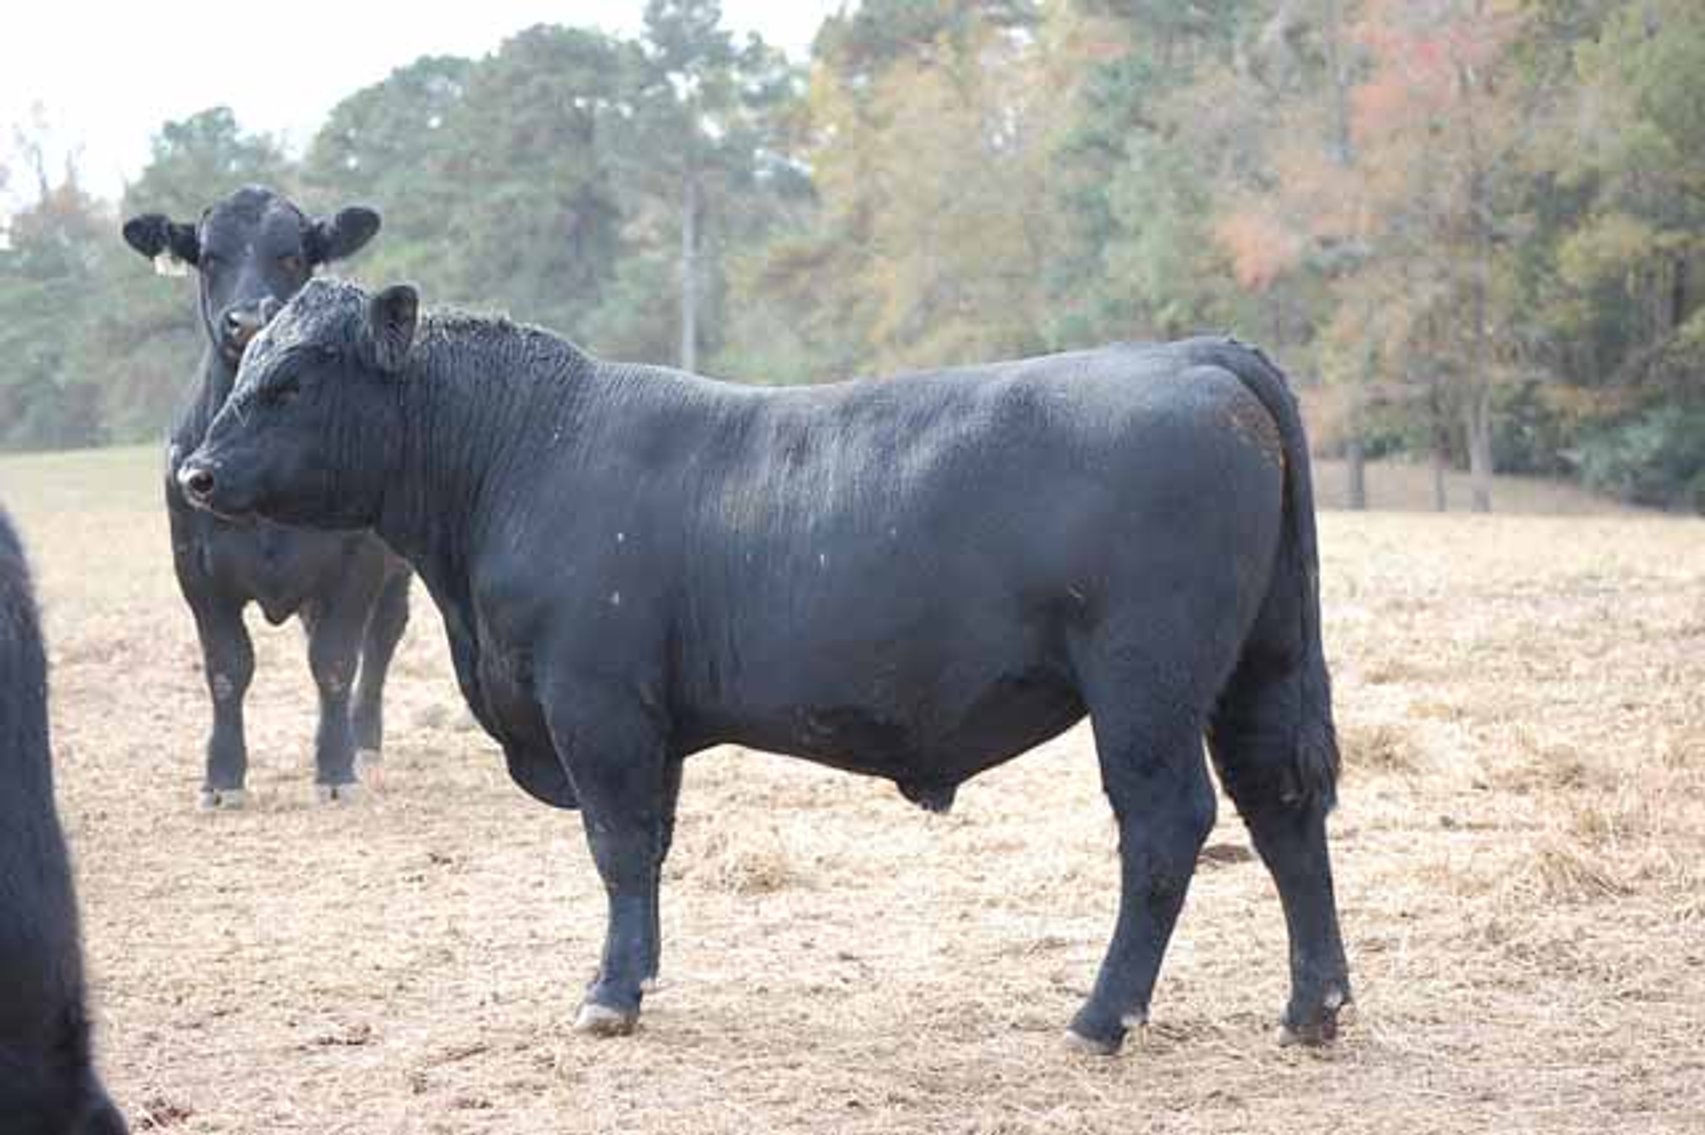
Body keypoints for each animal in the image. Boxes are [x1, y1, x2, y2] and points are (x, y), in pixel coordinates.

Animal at [121, 187, 411, 808]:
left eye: (293, 255)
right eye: (209, 258)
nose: (251, 319)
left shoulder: (355, 562)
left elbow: (335, 661)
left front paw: (335, 770)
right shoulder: (197, 569)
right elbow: (228, 668)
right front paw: (222, 778)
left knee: (381, 641)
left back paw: (365, 744)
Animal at [178, 278, 1352, 1054]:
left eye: (293, 378)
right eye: (250, 361)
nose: (196, 472)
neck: (521, 455)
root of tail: (1196, 354)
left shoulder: (596, 705)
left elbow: (616, 846)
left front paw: (609, 994)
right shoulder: (647, 722)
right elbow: (648, 849)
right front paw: (638, 973)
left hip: (1144, 688)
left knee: (1167, 825)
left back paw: (1101, 1016)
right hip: (1258, 665)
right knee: (1283, 808)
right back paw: (1314, 1008)